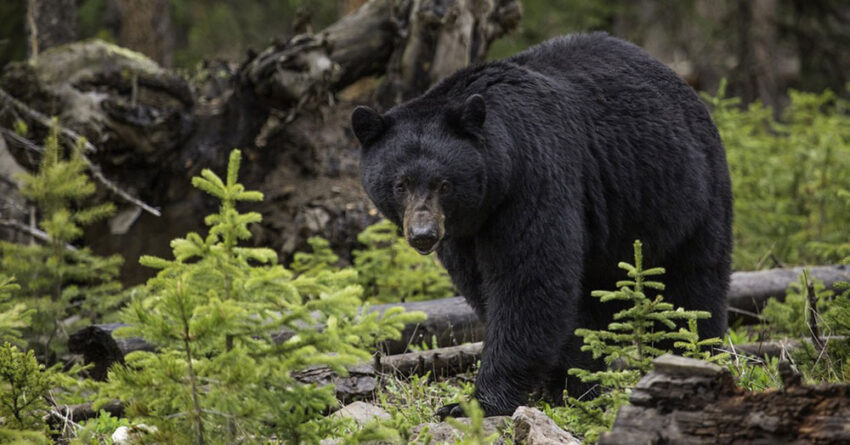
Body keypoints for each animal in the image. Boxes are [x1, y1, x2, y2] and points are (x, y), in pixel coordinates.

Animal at [350, 32, 732, 417]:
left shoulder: (533, 178)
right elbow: (485, 286)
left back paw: (691, 355)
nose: (423, 235)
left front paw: (476, 402)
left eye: (444, 184)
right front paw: (559, 381)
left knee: (693, 285)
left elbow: (529, 281)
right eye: (400, 184)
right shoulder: (465, 232)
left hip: (687, 195)